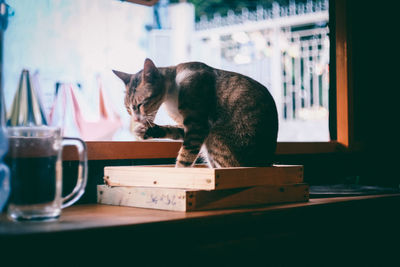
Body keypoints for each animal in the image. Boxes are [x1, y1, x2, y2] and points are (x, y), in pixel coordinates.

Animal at [113, 58, 278, 168]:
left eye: (141, 104)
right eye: (128, 108)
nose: (136, 119)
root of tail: (266, 163)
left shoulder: (198, 124)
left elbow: (185, 156)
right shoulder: (186, 125)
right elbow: (174, 131)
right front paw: (146, 130)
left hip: (216, 137)